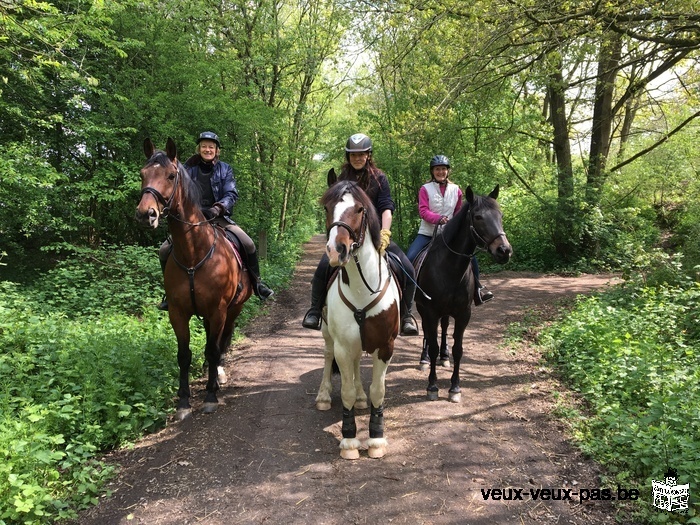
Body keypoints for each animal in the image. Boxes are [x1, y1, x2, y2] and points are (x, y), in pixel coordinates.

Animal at [135, 137, 253, 420]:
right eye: (142, 174)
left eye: (170, 175)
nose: (146, 214)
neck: (193, 254)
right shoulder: (178, 312)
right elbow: (183, 355)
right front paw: (183, 401)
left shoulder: (218, 310)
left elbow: (213, 348)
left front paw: (210, 396)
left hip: (233, 310)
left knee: (222, 341)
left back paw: (218, 376)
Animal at [314, 181, 400, 458]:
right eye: (327, 207)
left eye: (360, 209)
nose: (336, 250)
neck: (363, 290)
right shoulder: (343, 345)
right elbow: (347, 392)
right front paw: (350, 440)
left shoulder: (385, 347)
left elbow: (377, 391)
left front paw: (376, 438)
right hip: (329, 335)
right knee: (328, 356)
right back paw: (323, 396)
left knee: (355, 366)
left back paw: (363, 399)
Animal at [412, 186, 512, 404]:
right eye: (478, 217)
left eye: (500, 215)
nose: (504, 250)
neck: (449, 268)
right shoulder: (430, 311)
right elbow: (432, 344)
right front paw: (432, 386)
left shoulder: (463, 313)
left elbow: (458, 349)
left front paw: (455, 388)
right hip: (423, 310)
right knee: (427, 335)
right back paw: (424, 359)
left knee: (443, 329)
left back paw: (444, 356)